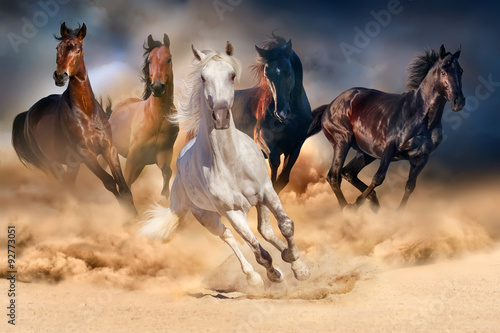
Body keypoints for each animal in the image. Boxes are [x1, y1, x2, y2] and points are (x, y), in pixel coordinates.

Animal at [11, 22, 136, 213]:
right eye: (58, 48)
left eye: (78, 50)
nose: (60, 76)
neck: (87, 112)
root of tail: (28, 113)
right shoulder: (85, 153)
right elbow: (109, 183)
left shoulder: (109, 148)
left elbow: (123, 187)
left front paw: (136, 216)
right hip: (50, 163)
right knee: (65, 185)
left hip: (71, 164)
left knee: (69, 183)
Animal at [108, 33, 179, 197]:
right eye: (149, 60)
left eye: (168, 58)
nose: (158, 87)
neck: (156, 118)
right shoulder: (134, 158)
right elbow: (126, 185)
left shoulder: (163, 155)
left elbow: (167, 173)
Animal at [231, 34, 310, 192]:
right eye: (267, 75)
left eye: (288, 72)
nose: (281, 113)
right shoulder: (261, 137)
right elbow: (274, 162)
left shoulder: (296, 146)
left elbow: (283, 178)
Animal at [306, 44, 466, 210]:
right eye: (443, 71)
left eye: (460, 71)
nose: (459, 102)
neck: (422, 118)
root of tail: (329, 106)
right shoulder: (390, 149)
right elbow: (378, 178)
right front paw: (356, 205)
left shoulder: (422, 157)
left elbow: (410, 186)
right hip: (342, 142)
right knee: (334, 176)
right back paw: (347, 208)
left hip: (366, 152)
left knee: (348, 172)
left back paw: (372, 201)